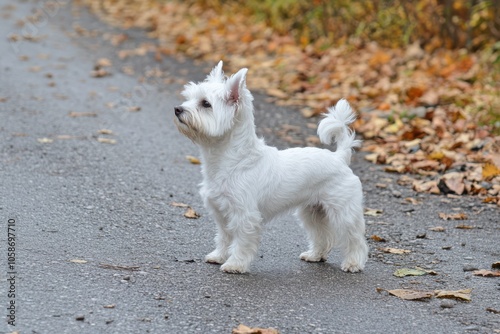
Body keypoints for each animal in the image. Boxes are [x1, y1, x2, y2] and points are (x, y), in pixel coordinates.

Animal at [175, 61, 368, 272]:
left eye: (205, 104)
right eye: (190, 98)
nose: (177, 109)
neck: (232, 159)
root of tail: (339, 157)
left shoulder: (245, 216)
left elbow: (241, 243)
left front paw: (235, 264)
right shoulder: (222, 214)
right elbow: (224, 237)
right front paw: (218, 256)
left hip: (344, 213)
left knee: (355, 239)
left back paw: (353, 263)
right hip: (313, 212)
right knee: (322, 235)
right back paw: (315, 255)